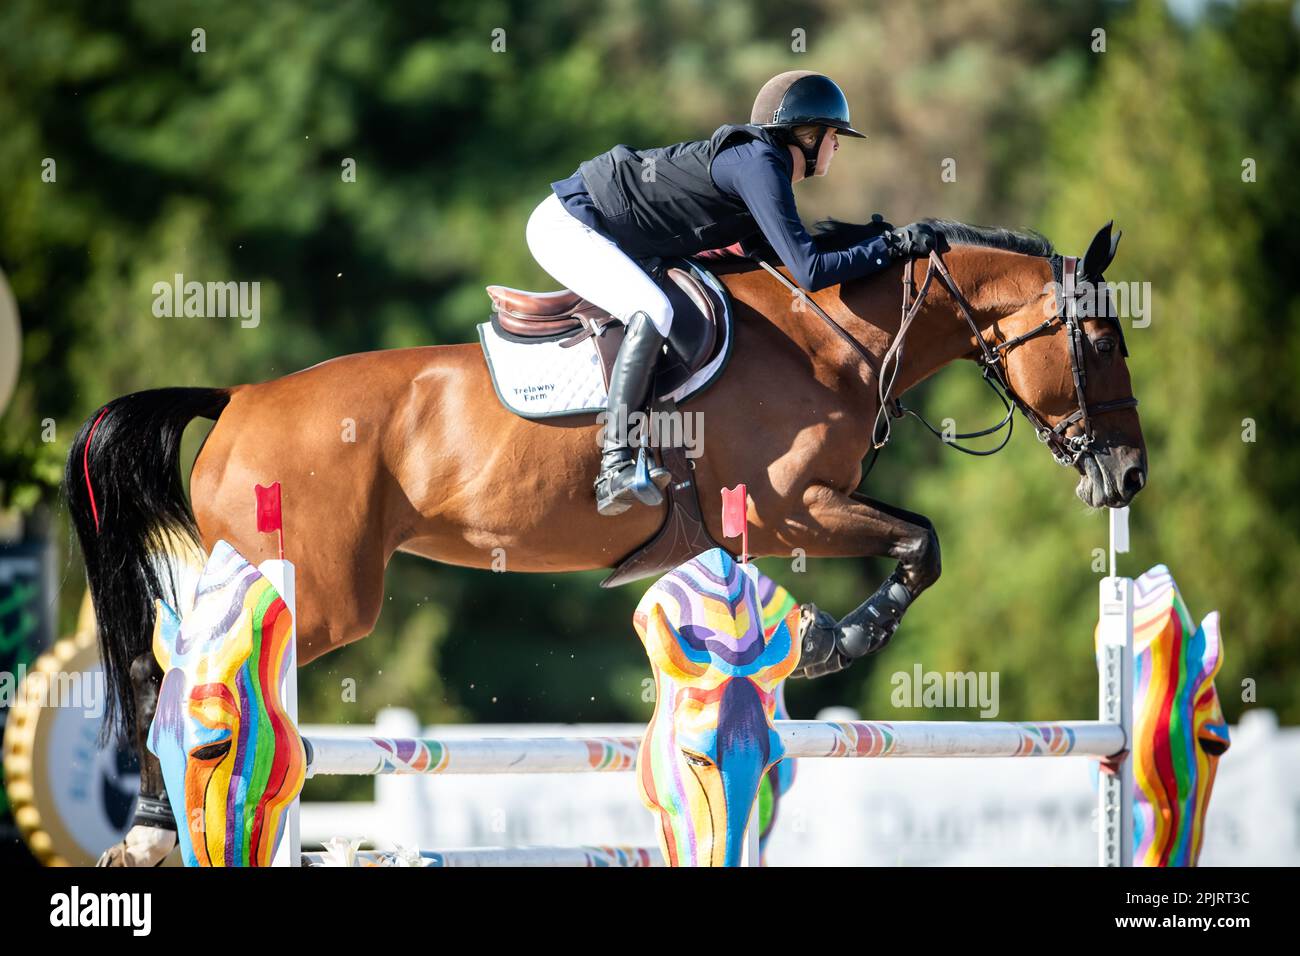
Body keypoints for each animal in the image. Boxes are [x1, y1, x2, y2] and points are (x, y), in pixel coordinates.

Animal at [68, 221, 1149, 863]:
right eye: (1101, 342)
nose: (1127, 477)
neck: (833, 334)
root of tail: (240, 399)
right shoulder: (794, 503)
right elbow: (922, 544)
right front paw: (839, 637)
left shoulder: (783, 515)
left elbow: (907, 544)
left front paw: (820, 636)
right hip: (319, 596)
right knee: (187, 672)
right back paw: (157, 827)